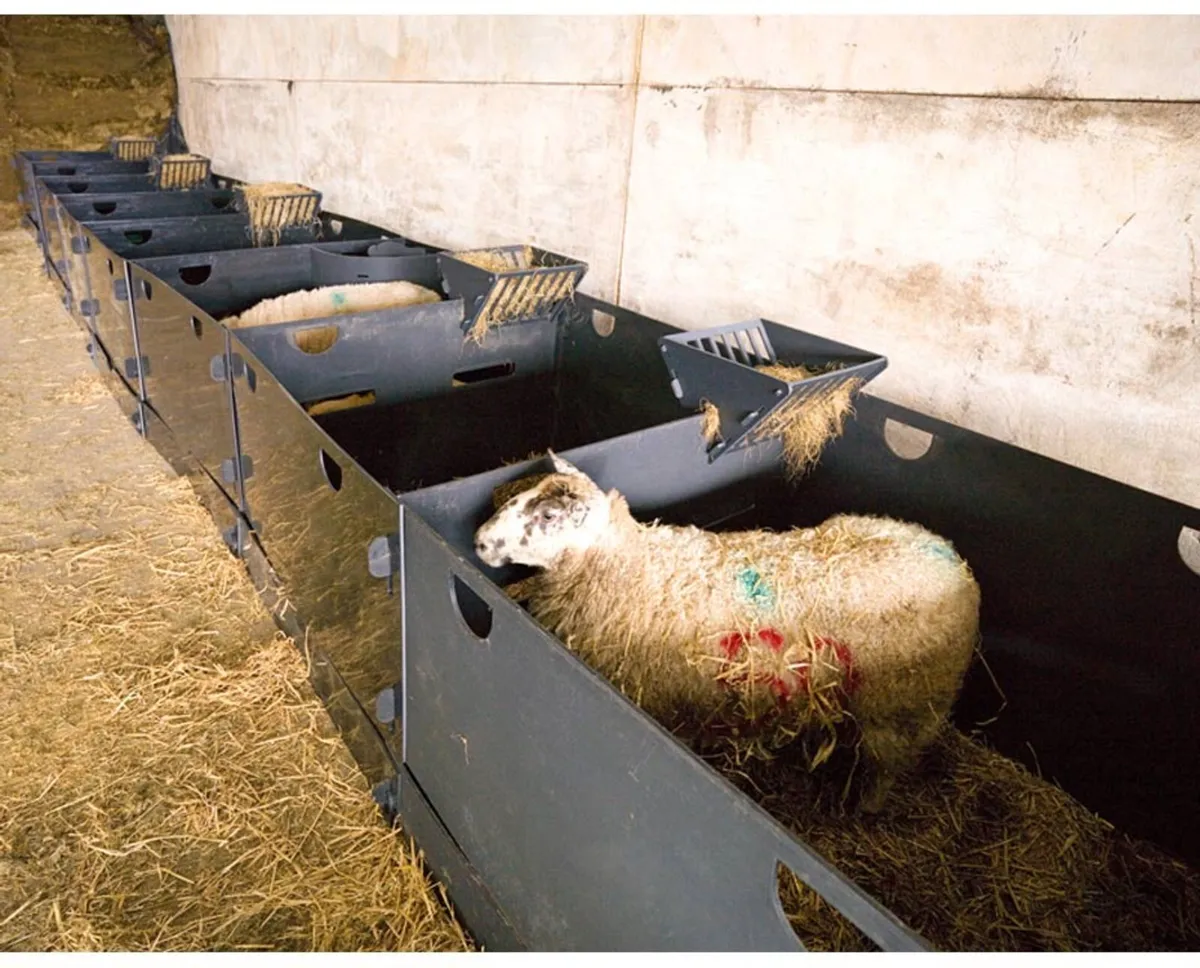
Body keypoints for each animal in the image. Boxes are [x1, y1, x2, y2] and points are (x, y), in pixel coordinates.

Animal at [474, 452, 982, 812]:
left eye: (548, 516)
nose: (479, 542)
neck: (624, 567)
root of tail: (954, 561)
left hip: (903, 707)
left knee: (887, 768)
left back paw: (865, 809)